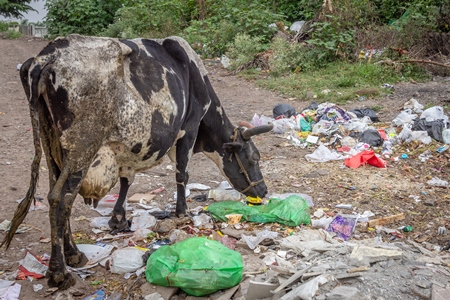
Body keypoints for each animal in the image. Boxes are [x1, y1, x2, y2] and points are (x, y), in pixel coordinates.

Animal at [0, 35, 270, 290]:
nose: (264, 190)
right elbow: (182, 174)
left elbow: (126, 180)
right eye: (254, 157)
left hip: (52, 146)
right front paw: (182, 212)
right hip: (82, 147)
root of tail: (47, 57)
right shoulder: (189, 129)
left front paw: (118, 218)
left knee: (54, 192)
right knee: (60, 199)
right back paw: (60, 271)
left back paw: (72, 253)